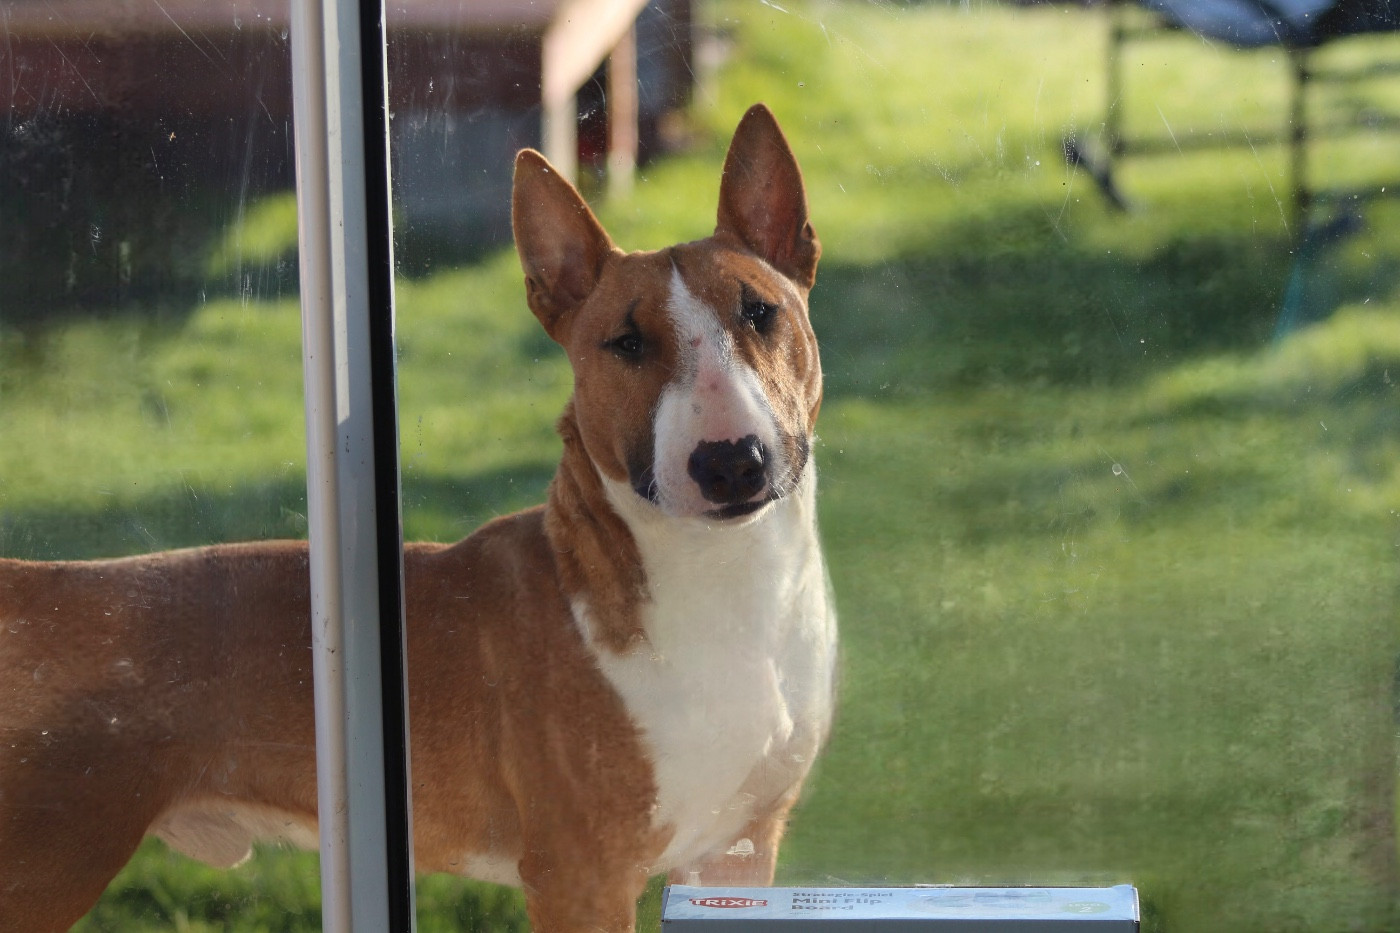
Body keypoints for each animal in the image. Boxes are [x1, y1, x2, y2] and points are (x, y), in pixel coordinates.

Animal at [0, 103, 835, 933]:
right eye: (626, 342)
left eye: (760, 313)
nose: (731, 462)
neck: (727, 587)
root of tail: (33, 582)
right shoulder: (582, 875)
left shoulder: (740, 850)